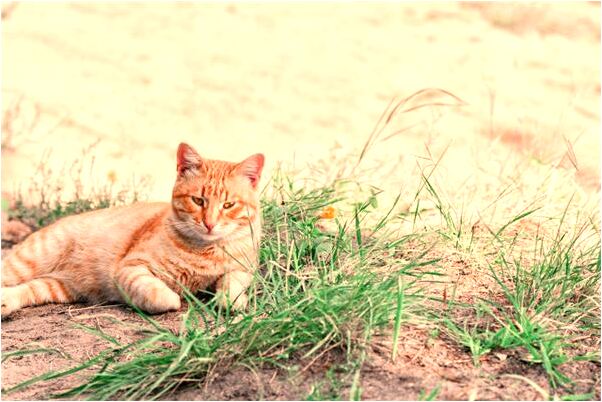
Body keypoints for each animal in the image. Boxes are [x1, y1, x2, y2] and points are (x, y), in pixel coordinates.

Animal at [0, 144, 262, 318]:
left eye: (228, 205)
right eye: (198, 200)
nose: (209, 223)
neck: (206, 250)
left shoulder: (243, 268)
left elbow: (233, 283)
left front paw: (232, 300)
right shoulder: (131, 267)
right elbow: (161, 295)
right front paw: (175, 296)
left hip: (56, 286)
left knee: (26, 289)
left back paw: (5, 303)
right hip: (27, 262)